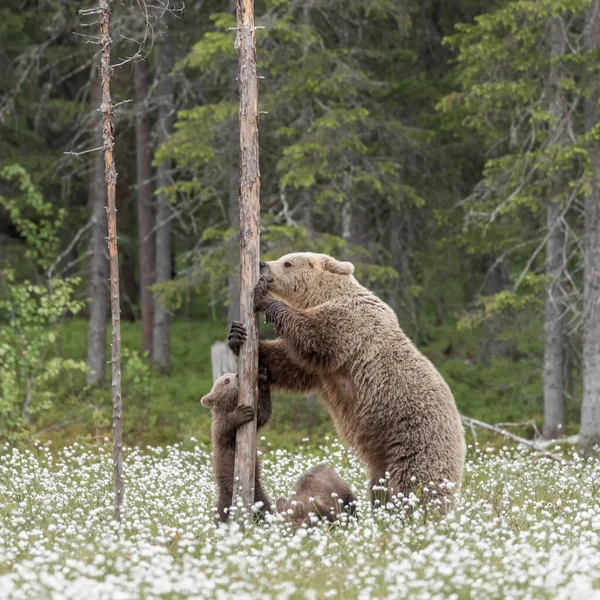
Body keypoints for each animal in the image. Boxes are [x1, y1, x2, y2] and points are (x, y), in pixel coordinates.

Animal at [200, 364, 270, 524]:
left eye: (231, 373)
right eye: (226, 380)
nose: (238, 374)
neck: (231, 404)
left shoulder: (256, 423)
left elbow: (263, 414)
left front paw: (263, 377)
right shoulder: (219, 430)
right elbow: (224, 428)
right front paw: (241, 413)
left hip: (259, 494)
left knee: (267, 508)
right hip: (228, 496)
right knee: (222, 512)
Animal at [227, 251, 466, 508]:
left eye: (287, 262)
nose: (262, 265)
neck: (323, 295)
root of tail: (462, 438)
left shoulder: (349, 326)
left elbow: (315, 333)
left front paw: (262, 298)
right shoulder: (320, 369)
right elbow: (290, 363)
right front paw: (237, 337)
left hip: (415, 439)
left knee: (416, 484)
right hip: (383, 458)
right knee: (380, 486)